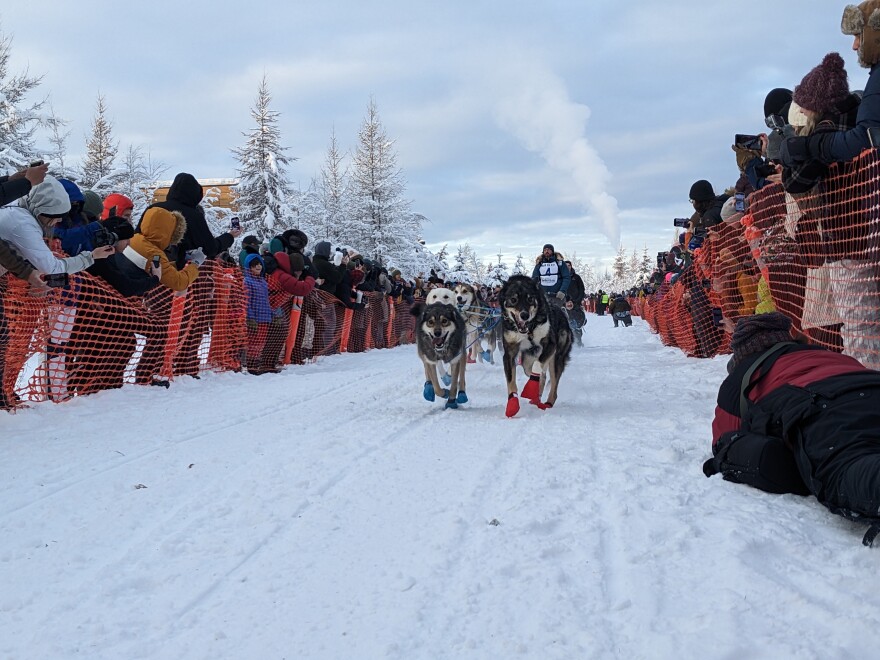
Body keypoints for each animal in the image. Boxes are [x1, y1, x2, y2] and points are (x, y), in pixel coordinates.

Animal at [498, 274, 576, 418]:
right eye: (513, 299)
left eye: (530, 299)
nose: (524, 315)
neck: (529, 329)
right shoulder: (509, 354)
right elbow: (511, 382)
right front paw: (512, 405)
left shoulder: (550, 345)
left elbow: (538, 365)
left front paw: (531, 388)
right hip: (526, 361)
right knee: (542, 377)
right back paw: (536, 398)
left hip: (556, 359)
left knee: (552, 385)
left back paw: (547, 403)